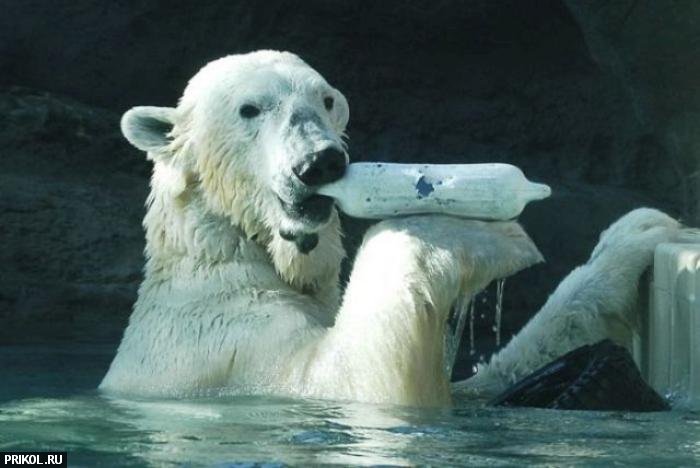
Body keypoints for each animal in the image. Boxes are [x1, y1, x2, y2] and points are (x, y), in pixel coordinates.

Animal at [100, 50, 682, 407]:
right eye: (249, 109)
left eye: (325, 99)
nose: (321, 163)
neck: (225, 253)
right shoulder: (222, 349)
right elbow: (347, 376)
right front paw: (475, 227)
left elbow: (490, 380)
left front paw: (640, 231)